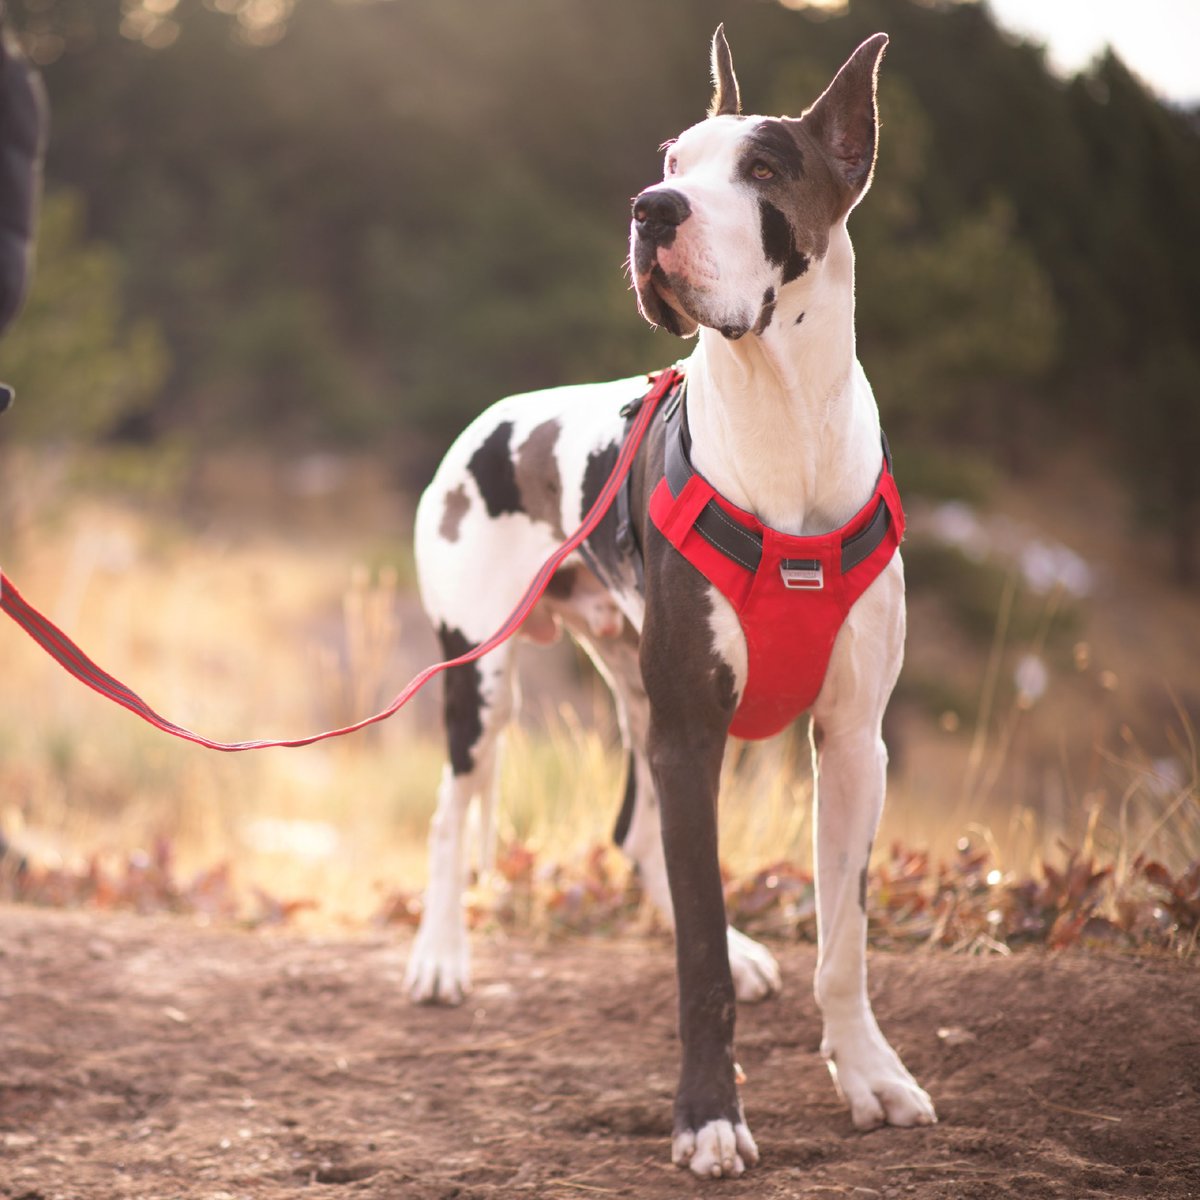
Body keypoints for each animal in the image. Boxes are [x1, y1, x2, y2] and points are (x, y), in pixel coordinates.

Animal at [408, 28, 931, 1180]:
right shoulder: (694, 730)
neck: (781, 420)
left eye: (766, 169)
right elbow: (693, 952)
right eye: (673, 159)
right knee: (455, 807)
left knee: (637, 830)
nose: (653, 209)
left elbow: (843, 939)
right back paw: (440, 957)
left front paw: (868, 1074)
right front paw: (707, 1116)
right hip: (481, 678)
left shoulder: (851, 743)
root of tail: (495, 417)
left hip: (642, 691)